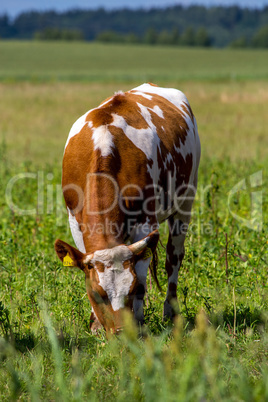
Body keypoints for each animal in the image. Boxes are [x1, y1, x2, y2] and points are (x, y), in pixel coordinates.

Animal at [54, 83, 200, 334]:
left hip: (185, 203)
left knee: (173, 258)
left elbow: (141, 272)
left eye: (133, 290)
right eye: (97, 294)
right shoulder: (75, 222)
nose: (121, 331)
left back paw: (170, 312)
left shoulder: (146, 223)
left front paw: (139, 320)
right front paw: (95, 324)